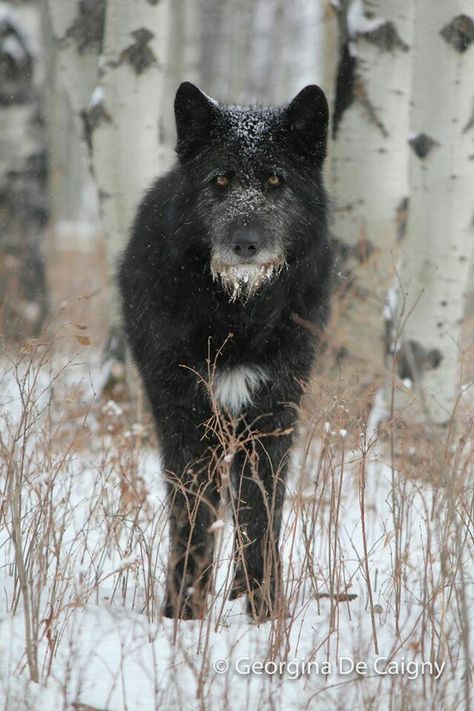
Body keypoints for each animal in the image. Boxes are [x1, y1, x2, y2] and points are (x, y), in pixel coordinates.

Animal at [118, 80, 334, 620]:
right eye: (221, 180)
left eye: (275, 179)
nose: (246, 244)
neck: (239, 316)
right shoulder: (185, 418)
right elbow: (193, 519)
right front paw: (182, 615)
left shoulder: (272, 417)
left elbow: (259, 517)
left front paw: (262, 611)